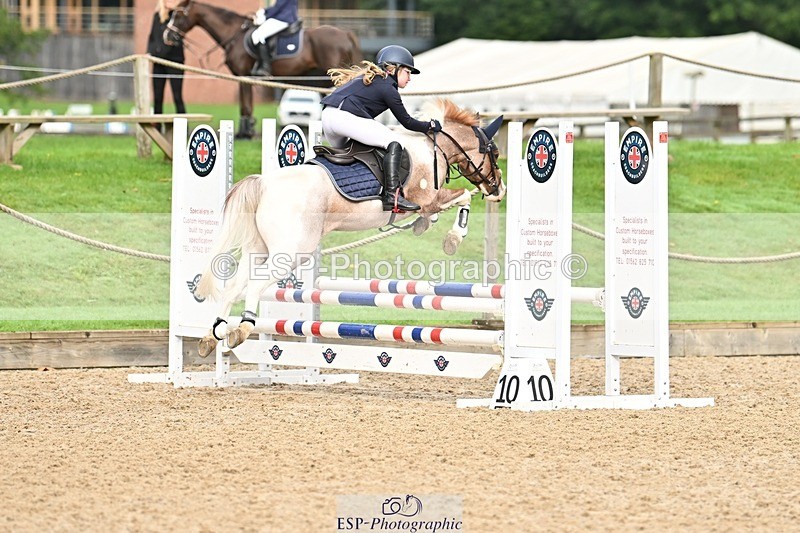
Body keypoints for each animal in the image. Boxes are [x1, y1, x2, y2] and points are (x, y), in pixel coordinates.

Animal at [164, 0, 361, 139]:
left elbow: (246, 107)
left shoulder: (244, 76)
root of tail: (345, 33)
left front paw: (245, 134)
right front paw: (246, 131)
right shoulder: (242, 78)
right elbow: (245, 105)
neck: (234, 34)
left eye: (178, 16)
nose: (168, 36)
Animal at [193, 99, 507, 357]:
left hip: (258, 249)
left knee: (233, 286)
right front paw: (453, 238)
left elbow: (438, 212)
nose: (499, 190)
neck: (432, 149)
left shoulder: (429, 203)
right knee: (255, 285)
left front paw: (422, 226)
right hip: (291, 252)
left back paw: (213, 334)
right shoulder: (429, 199)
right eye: (494, 153)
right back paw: (242, 329)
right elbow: (462, 198)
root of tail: (264, 183)